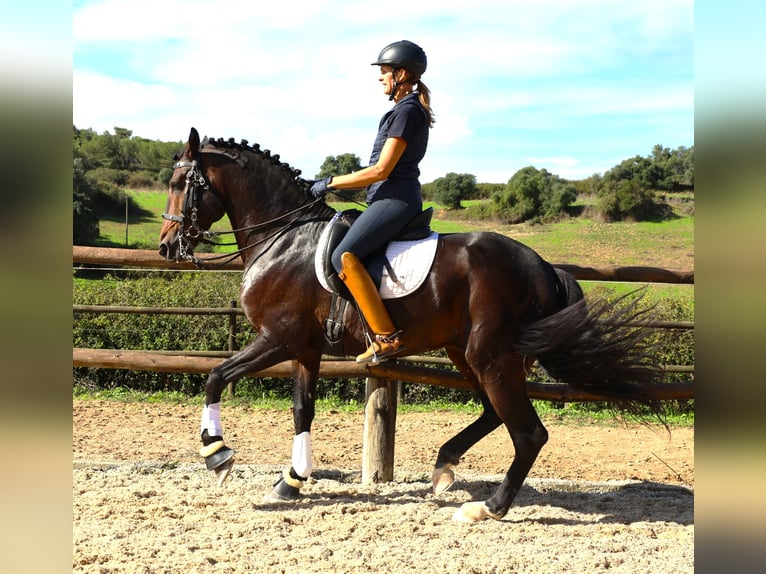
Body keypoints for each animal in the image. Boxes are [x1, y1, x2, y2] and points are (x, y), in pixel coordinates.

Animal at [159, 128, 664, 524]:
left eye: (180, 182)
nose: (166, 246)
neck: (285, 239)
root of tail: (542, 266)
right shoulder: (304, 347)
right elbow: (302, 410)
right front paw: (292, 481)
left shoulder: (277, 339)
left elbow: (215, 376)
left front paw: (217, 455)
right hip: (468, 353)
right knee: (493, 413)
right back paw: (444, 467)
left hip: (490, 355)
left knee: (528, 433)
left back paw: (487, 508)